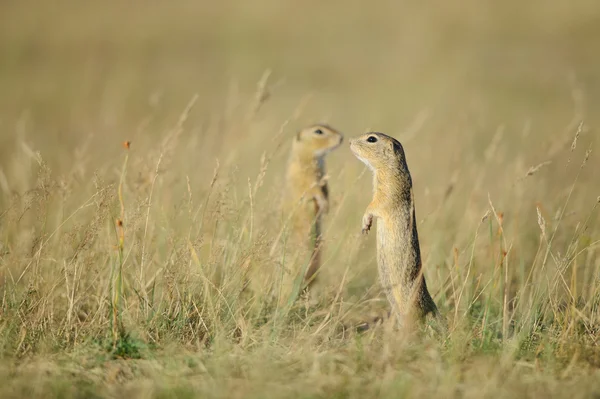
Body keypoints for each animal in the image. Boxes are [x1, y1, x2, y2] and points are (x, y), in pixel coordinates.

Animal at [284, 124, 344, 288]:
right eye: (318, 131)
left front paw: (327, 206)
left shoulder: (323, 175)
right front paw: (324, 205)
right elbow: (313, 190)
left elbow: (326, 189)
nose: (341, 137)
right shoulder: (307, 176)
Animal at [350, 132, 438, 328]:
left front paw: (365, 222)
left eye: (372, 139)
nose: (350, 141)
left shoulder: (389, 190)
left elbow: (375, 205)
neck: (388, 168)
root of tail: (431, 304)